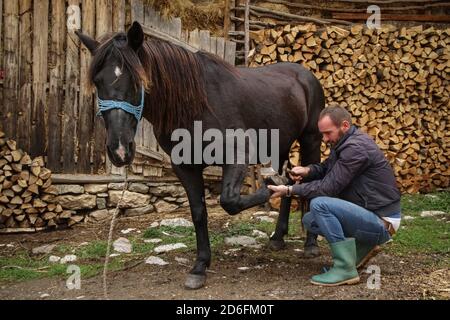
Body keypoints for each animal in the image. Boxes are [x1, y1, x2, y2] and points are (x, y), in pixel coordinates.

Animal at [77, 21, 324, 288]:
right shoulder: (185, 166)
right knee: (289, 182)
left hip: (311, 140)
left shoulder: (236, 157)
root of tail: (305, 74)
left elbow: (230, 201)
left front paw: (269, 186)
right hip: (279, 145)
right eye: (98, 82)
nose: (119, 149)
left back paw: (310, 244)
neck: (196, 104)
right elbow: (198, 212)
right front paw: (200, 266)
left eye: (136, 79)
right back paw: (277, 237)